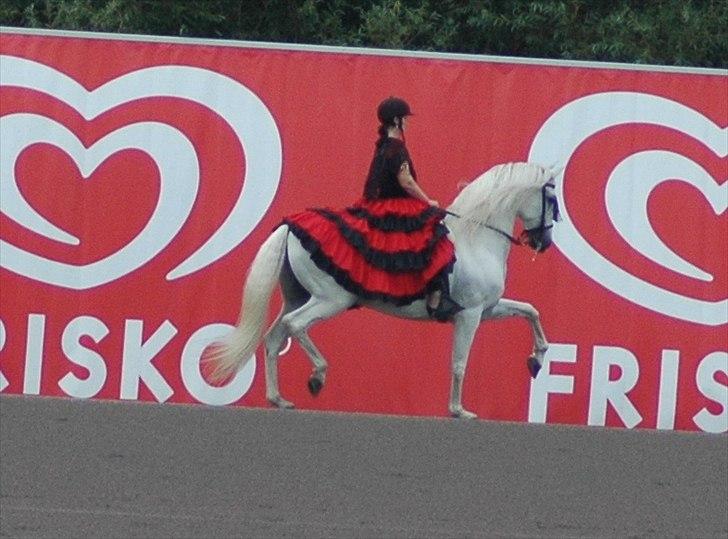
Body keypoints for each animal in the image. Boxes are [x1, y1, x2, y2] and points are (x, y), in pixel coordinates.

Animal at [208, 162, 560, 420]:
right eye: (552, 200)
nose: (544, 243)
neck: (474, 239)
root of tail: (289, 225)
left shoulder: (488, 309)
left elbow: (530, 311)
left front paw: (537, 359)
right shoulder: (470, 314)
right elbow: (460, 361)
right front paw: (459, 410)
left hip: (298, 297)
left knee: (274, 337)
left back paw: (278, 399)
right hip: (329, 299)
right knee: (296, 325)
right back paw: (317, 376)